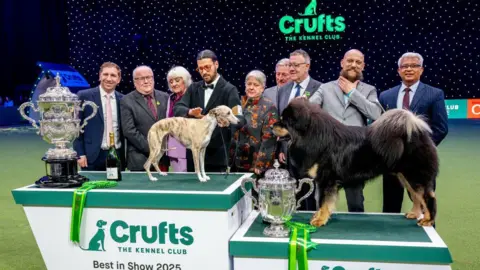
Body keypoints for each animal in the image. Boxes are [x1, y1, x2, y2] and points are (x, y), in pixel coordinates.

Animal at [272, 98, 436, 227]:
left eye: (284, 121)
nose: (272, 125)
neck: (314, 136)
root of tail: (417, 132)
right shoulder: (322, 181)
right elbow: (322, 201)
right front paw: (319, 216)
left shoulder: (326, 179)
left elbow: (324, 201)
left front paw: (319, 220)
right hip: (405, 176)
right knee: (416, 196)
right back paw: (414, 214)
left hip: (414, 176)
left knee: (428, 197)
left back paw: (427, 220)